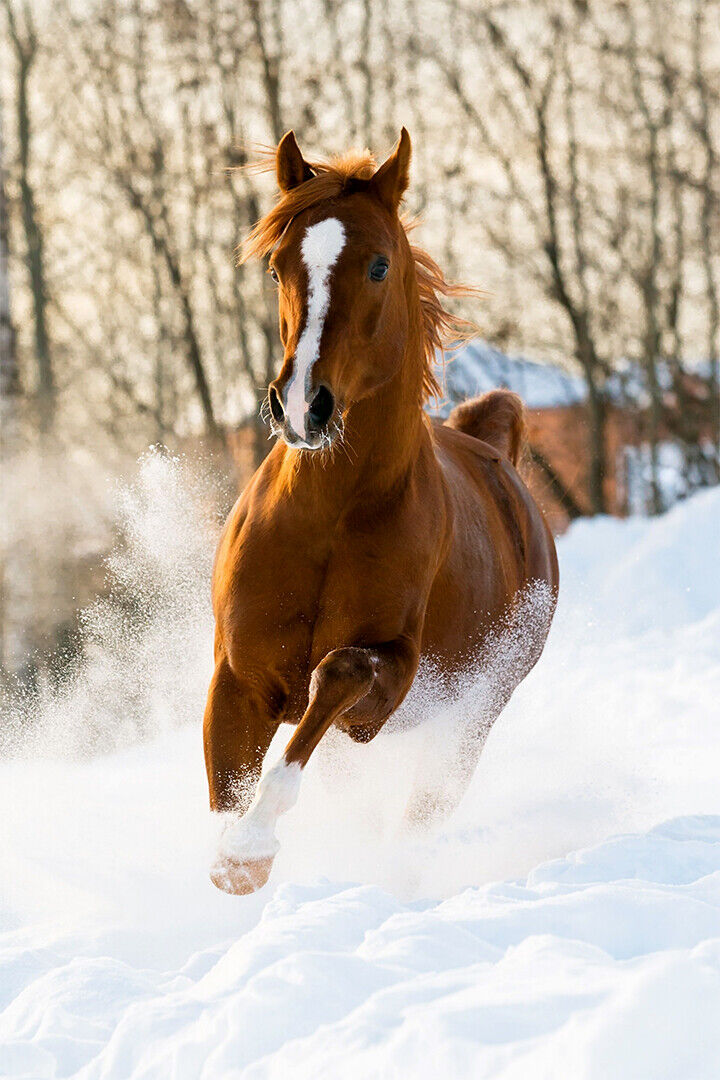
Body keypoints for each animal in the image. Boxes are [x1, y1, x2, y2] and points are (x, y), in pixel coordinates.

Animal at [203, 128, 559, 894]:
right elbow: (227, 789)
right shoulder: (239, 678)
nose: (303, 406)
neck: (327, 519)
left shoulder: (386, 682)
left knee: (420, 812)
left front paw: (251, 849)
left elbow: (336, 677)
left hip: (471, 719)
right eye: (276, 267)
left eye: (378, 265)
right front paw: (234, 858)